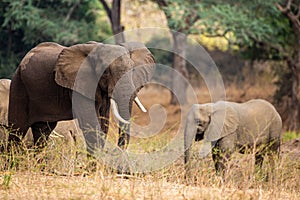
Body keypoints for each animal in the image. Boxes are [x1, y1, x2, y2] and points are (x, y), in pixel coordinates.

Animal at [8, 40, 156, 153]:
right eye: (105, 72)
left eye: (133, 69)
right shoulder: (77, 85)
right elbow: (90, 122)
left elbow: (104, 123)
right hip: (18, 85)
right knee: (16, 130)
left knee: (43, 131)